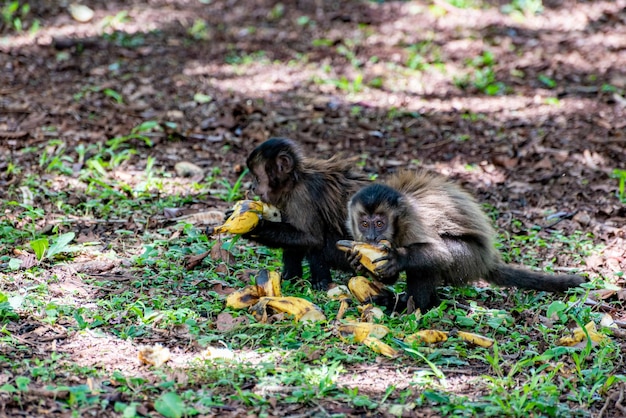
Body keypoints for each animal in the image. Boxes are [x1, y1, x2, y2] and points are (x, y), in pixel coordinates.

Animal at [244, 139, 370, 290]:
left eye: (257, 178)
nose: (252, 187)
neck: (295, 181)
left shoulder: (302, 195)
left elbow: (312, 238)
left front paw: (256, 227)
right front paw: (290, 277)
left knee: (318, 241)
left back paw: (322, 281)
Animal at [344, 171, 584, 314]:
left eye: (379, 223)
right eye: (364, 224)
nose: (371, 237)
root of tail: (487, 261)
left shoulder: (411, 221)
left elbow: (440, 254)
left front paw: (398, 257)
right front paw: (356, 260)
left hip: (468, 261)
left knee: (430, 263)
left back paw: (412, 306)